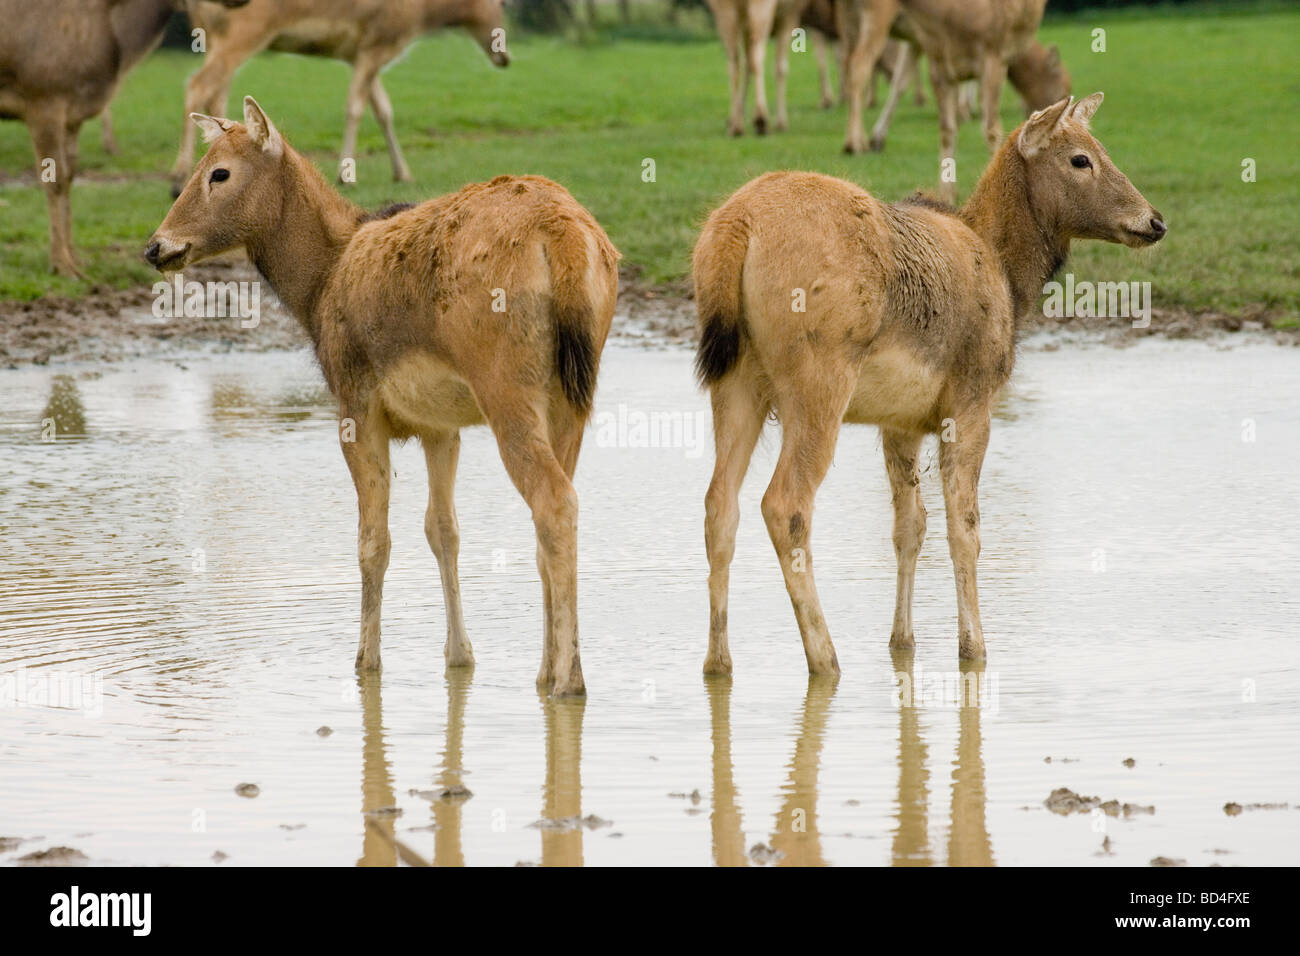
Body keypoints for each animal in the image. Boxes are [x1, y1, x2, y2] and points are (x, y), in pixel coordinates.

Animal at [0, 0, 248, 277]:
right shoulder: (44, 99)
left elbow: (68, 178)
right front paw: (61, 264)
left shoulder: (73, 117)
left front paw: (75, 258)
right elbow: (53, 182)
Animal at [144, 97, 621, 697]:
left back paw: (569, 681)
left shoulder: (355, 404)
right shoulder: (441, 425)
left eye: (219, 173)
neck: (317, 287)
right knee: (554, 513)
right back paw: (545, 672)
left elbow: (373, 541)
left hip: (505, 384)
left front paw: (365, 662)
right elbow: (443, 529)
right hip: (573, 393)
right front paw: (459, 656)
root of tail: (564, 236)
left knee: (554, 503)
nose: (156, 246)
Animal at [171, 0, 512, 196]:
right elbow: (356, 107)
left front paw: (403, 173)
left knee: (215, 94)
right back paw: (177, 179)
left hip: (214, 36)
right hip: (243, 31)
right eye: (502, 2)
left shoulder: (358, 53)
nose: (505, 56)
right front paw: (345, 175)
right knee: (197, 85)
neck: (421, 15)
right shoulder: (377, 44)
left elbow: (383, 109)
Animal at [691, 95, 1170, 671]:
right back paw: (825, 657)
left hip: (735, 379)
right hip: (819, 378)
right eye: (1081, 158)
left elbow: (910, 526)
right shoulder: (972, 398)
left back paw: (718, 662)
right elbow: (965, 529)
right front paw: (974, 647)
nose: (1155, 220)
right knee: (785, 504)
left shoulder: (899, 422)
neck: (1012, 279)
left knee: (719, 504)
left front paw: (903, 640)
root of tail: (734, 228)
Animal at [837, 0, 1071, 199]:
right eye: (1063, 88)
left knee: (849, 62)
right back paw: (855, 144)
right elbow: (973, 128)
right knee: (859, 65)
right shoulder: (969, 59)